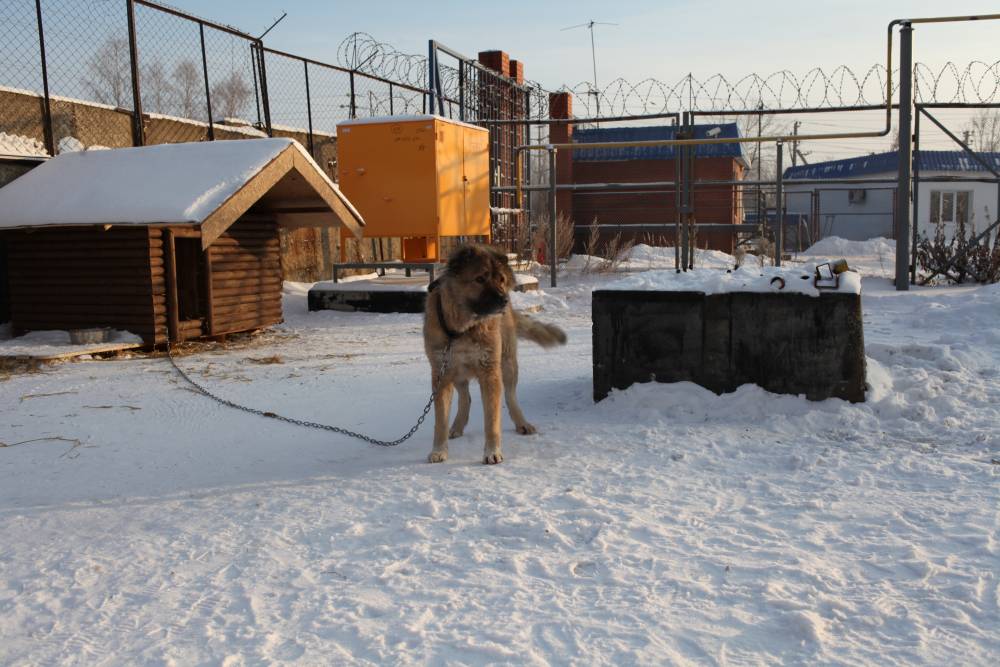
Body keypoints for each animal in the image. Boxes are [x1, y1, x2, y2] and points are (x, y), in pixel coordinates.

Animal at [424, 244, 572, 464]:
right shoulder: (442, 374)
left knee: (510, 397)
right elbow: (440, 420)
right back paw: (457, 426)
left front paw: (492, 451)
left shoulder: (490, 372)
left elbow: (492, 420)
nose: (504, 300)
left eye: (501, 280)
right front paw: (439, 450)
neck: (463, 328)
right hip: (458, 373)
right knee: (465, 398)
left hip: (508, 364)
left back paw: (521, 423)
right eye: (480, 279)